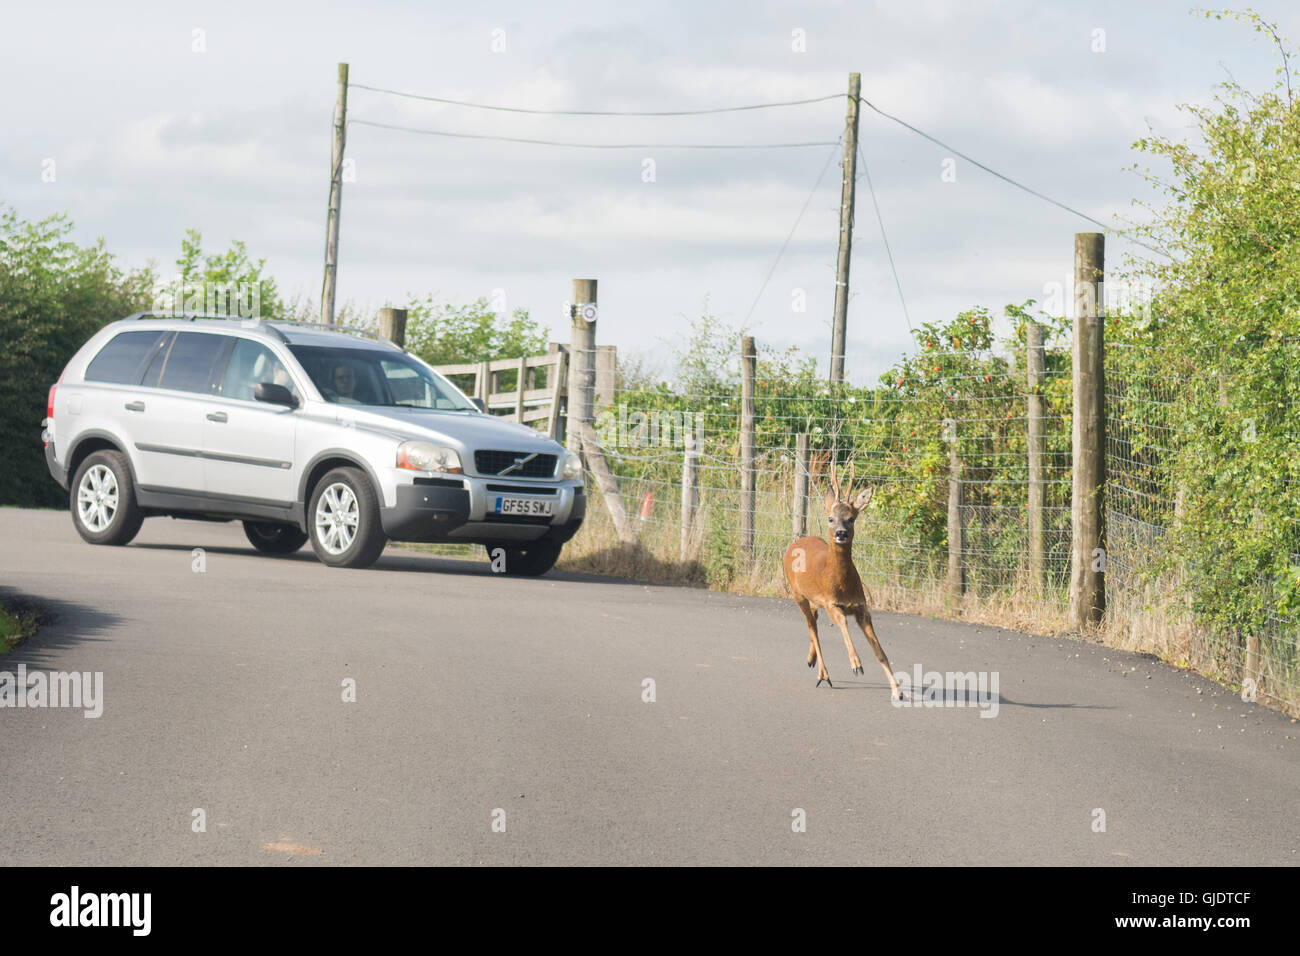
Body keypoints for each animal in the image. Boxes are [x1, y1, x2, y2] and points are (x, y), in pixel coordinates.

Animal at [780, 455, 904, 697]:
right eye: (830, 518)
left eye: (851, 518)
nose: (841, 533)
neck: (842, 585)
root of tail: (797, 542)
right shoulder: (832, 603)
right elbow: (843, 624)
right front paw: (856, 665)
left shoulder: (862, 607)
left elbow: (880, 651)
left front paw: (897, 690)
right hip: (797, 593)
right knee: (812, 626)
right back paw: (823, 675)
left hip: (812, 598)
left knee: (814, 619)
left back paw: (811, 660)